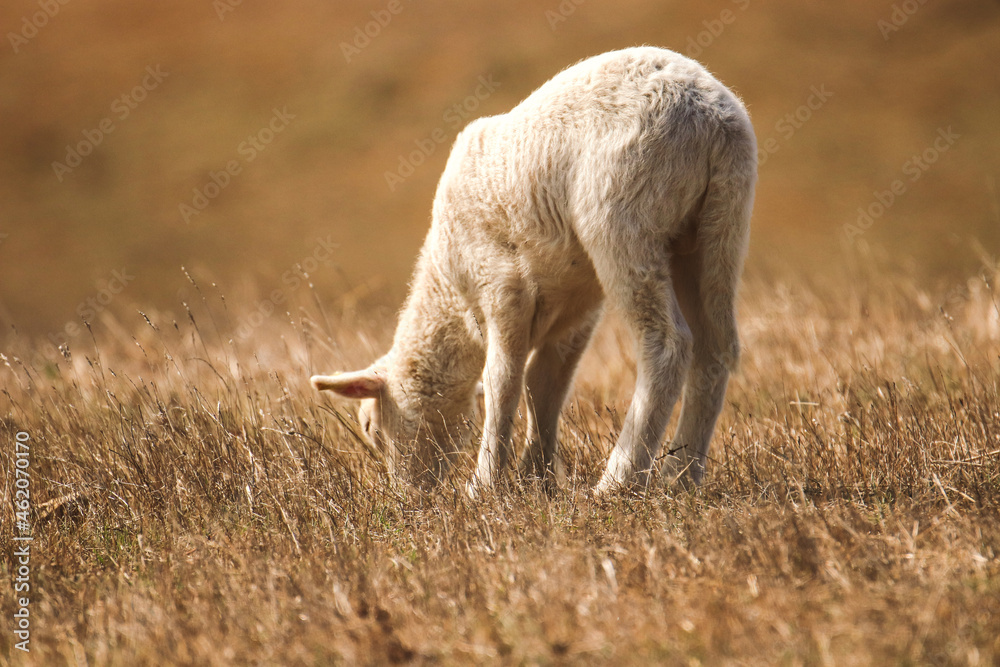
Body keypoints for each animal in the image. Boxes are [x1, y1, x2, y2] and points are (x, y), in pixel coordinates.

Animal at [312, 46, 757, 496]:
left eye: (371, 427)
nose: (407, 494)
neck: (451, 291)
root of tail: (709, 114)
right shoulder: (575, 309)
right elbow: (543, 384)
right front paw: (536, 476)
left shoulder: (502, 286)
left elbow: (502, 381)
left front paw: (484, 484)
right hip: (721, 223)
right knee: (715, 347)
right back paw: (681, 475)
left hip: (623, 212)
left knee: (666, 342)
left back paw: (618, 478)